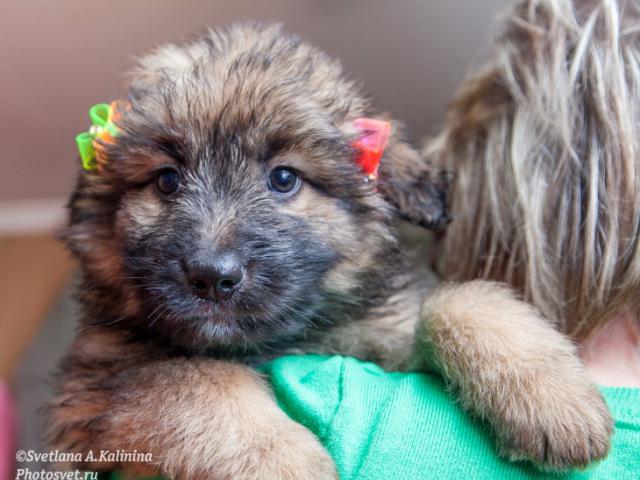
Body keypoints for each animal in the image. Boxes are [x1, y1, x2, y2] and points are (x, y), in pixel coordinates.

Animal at [48, 24, 608, 478]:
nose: (212, 276)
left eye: (284, 179)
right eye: (166, 180)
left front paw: (550, 395)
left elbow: (456, 300)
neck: (288, 339)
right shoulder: (95, 394)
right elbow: (197, 379)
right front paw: (283, 462)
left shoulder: (381, 333)